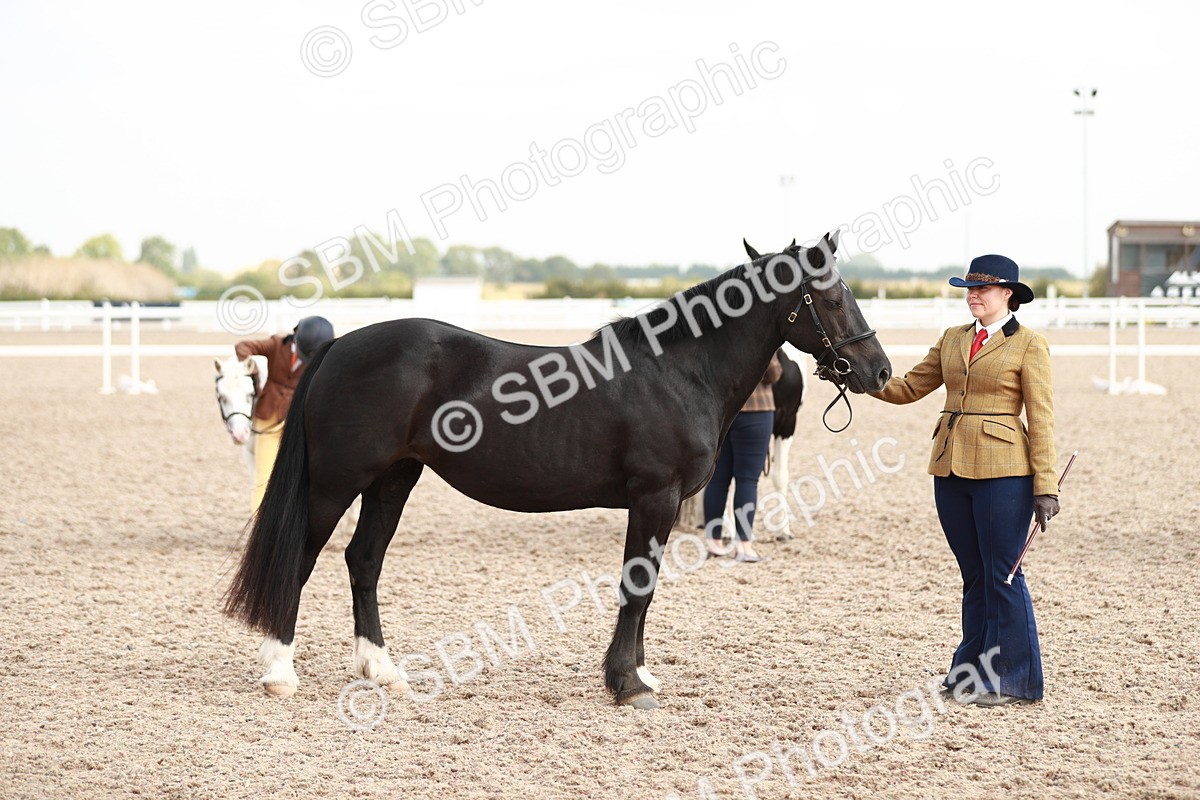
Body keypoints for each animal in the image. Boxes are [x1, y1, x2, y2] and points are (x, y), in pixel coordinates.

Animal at [222, 231, 892, 709]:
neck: (678, 369)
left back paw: (383, 670)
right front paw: (629, 684)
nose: (879, 370)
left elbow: (642, 588)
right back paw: (279, 671)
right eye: (833, 297)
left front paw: (636, 674)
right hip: (334, 483)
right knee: (299, 558)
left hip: (394, 479)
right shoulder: (655, 497)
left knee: (363, 561)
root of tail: (340, 345)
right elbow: (637, 587)